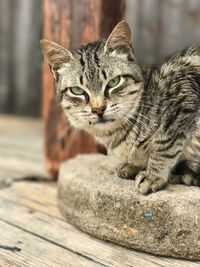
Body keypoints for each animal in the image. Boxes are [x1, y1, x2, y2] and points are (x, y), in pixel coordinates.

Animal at [39, 19, 200, 195]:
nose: (98, 109)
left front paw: (153, 175)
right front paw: (133, 165)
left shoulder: (182, 92)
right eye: (77, 91)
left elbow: (164, 144)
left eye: (114, 82)